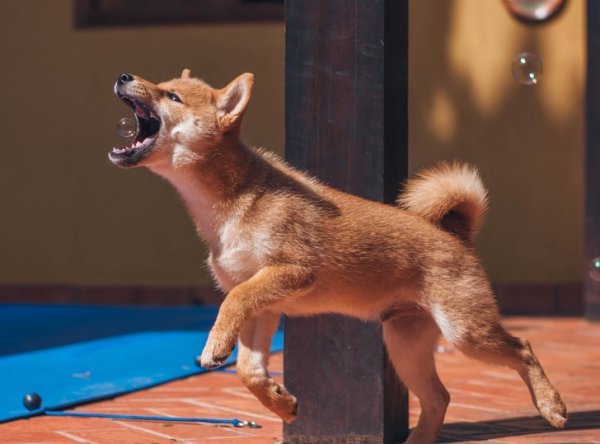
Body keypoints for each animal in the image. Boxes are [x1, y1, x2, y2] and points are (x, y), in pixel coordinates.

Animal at [110, 70, 564, 444]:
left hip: (464, 332)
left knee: (522, 348)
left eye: (171, 95)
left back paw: (552, 407)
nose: (124, 76)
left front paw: (215, 344)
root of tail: (455, 233)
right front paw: (280, 402)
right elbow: (249, 370)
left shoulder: (290, 273)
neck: (231, 203)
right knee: (439, 398)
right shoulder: (264, 306)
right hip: (405, 343)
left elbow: (232, 305)